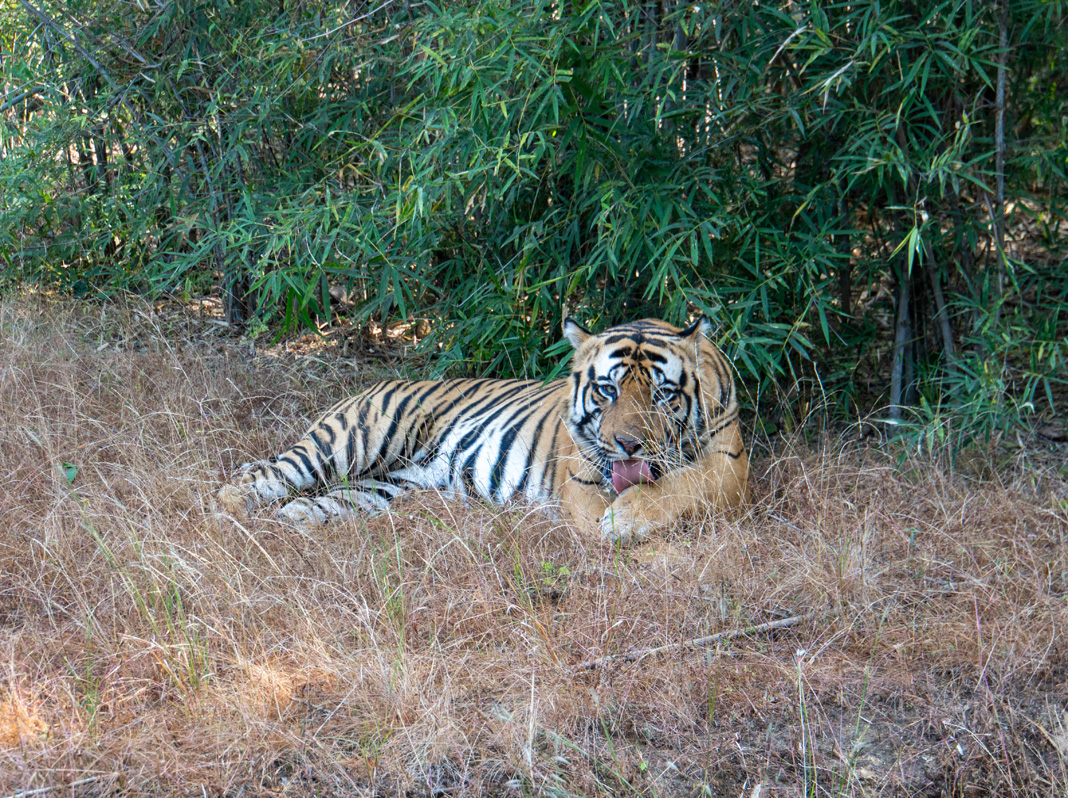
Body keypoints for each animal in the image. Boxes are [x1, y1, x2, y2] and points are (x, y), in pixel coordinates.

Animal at [217, 316, 749, 542]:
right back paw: (228, 517)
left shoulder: (730, 466)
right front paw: (614, 523)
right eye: (607, 390)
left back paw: (290, 523)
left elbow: (682, 486)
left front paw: (626, 517)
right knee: (258, 479)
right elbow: (618, 500)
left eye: (662, 394)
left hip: (378, 486)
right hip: (349, 441)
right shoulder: (581, 479)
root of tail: (376, 382)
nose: (629, 445)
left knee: (306, 504)